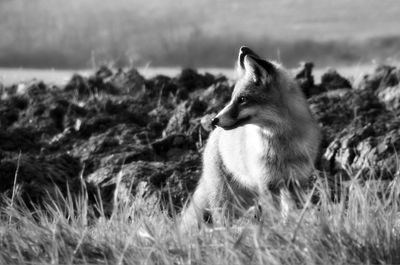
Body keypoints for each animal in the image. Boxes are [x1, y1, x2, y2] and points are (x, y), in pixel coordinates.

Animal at [180, 46, 320, 228]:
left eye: (242, 99)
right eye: (233, 98)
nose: (214, 120)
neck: (282, 148)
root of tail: (213, 136)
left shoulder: (295, 181)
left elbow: (291, 213)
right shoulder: (268, 183)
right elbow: (276, 216)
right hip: (227, 198)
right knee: (223, 220)